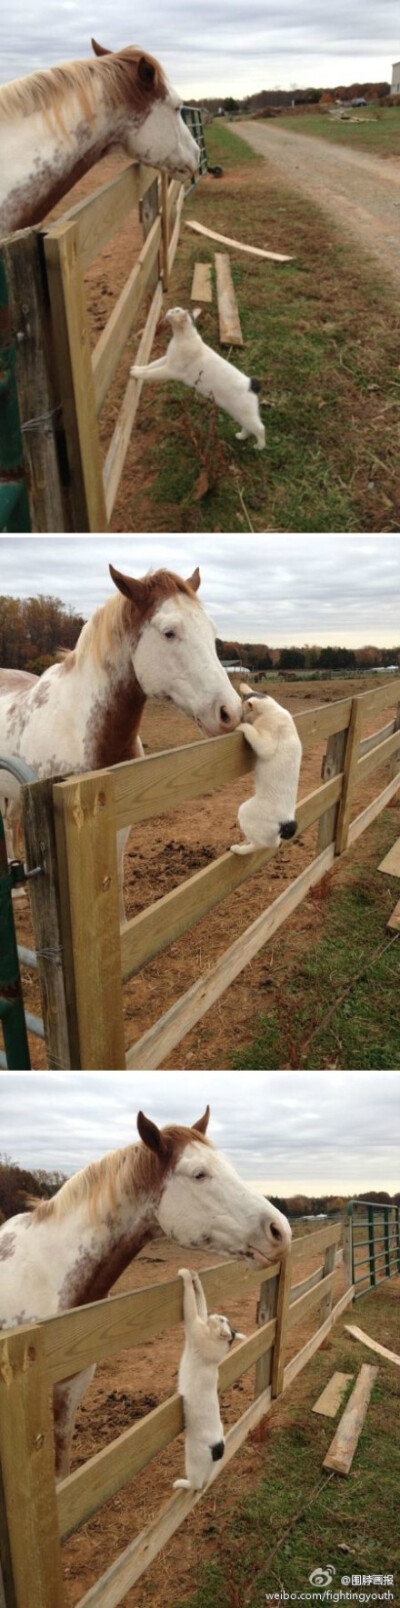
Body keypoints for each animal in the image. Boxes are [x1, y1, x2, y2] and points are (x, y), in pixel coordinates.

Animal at [130, 307, 265, 450]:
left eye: (176, 311)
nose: (169, 310)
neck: (181, 337)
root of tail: (252, 384)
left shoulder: (171, 370)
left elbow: (151, 373)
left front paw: (136, 374)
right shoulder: (167, 360)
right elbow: (151, 365)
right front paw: (137, 368)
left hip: (246, 416)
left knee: (260, 429)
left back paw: (259, 446)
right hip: (238, 415)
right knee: (248, 428)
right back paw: (241, 436)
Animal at [229, 681, 302, 855]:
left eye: (242, 713)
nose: (240, 719)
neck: (272, 710)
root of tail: (287, 822)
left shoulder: (266, 746)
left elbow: (251, 731)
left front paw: (241, 726)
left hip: (245, 811)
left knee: (260, 845)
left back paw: (238, 849)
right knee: (273, 843)